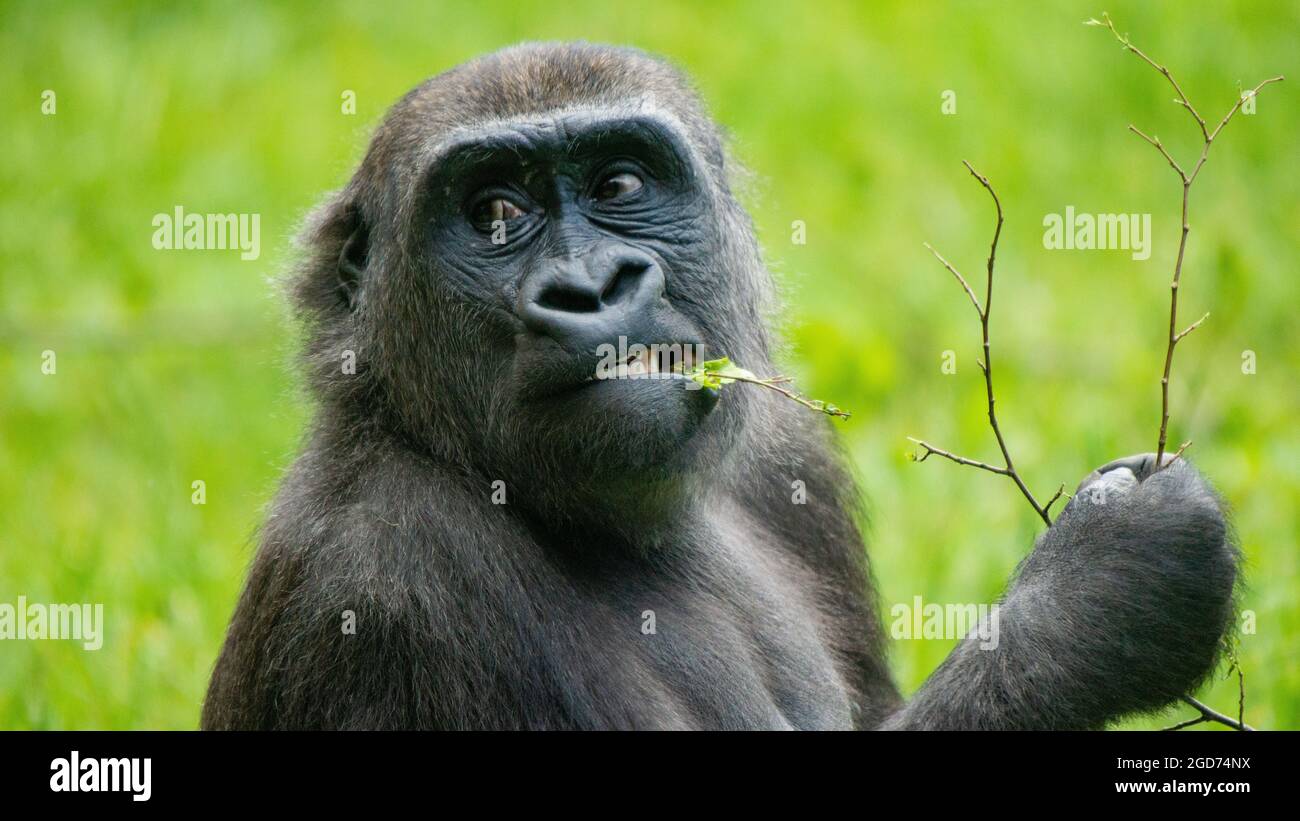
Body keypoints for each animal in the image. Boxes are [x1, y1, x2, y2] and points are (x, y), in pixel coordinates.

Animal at [202, 43, 1237, 730]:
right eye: (495, 211)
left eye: (621, 185)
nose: (592, 286)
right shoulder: (384, 574)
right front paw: (1090, 605)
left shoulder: (788, 453)